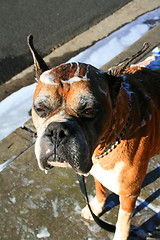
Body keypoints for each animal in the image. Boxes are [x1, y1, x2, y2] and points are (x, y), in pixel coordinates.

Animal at [27, 34, 160, 239]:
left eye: (89, 110)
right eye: (40, 109)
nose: (57, 131)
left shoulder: (128, 194)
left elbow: (123, 222)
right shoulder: (98, 171)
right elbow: (100, 189)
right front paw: (96, 207)